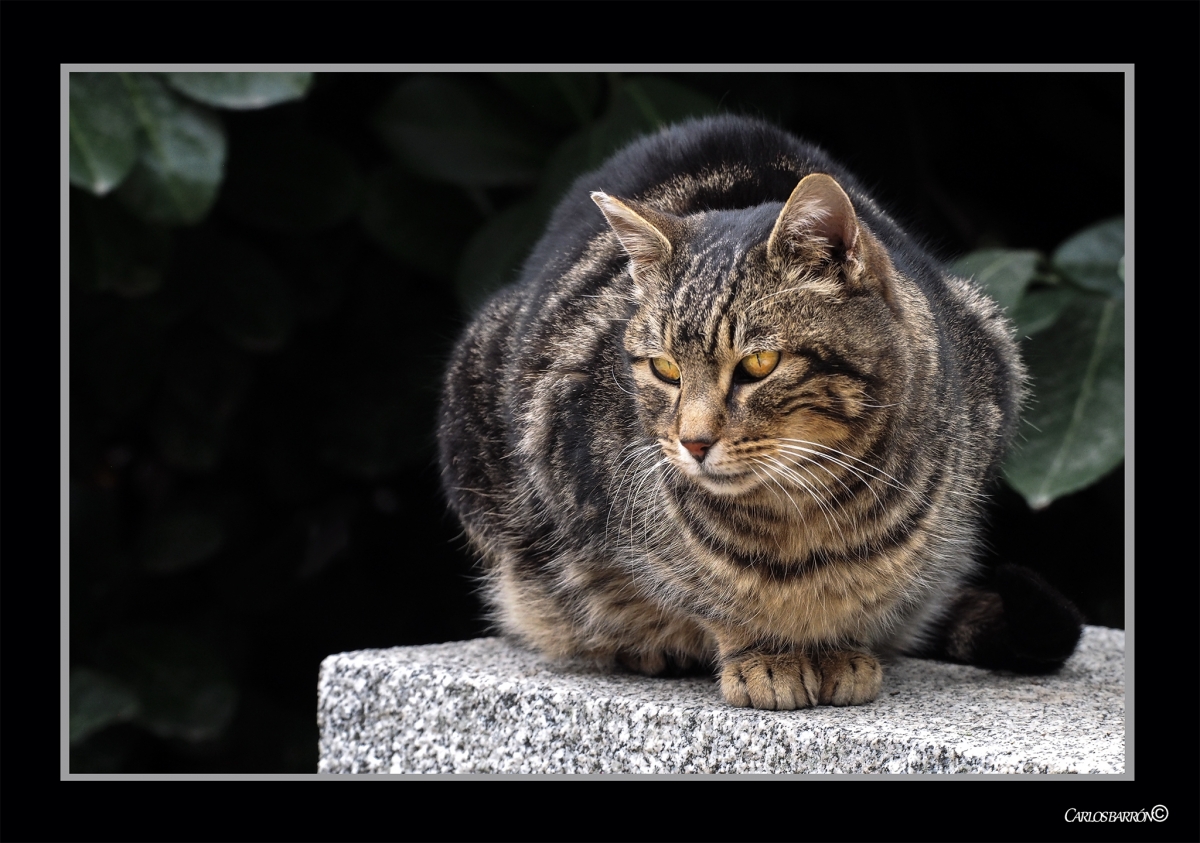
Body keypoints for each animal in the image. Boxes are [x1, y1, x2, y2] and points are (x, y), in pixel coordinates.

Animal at [436, 115, 1084, 710]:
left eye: (759, 364)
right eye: (665, 369)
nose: (694, 442)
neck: (803, 512)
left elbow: (872, 591)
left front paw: (840, 650)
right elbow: (703, 592)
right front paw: (764, 656)